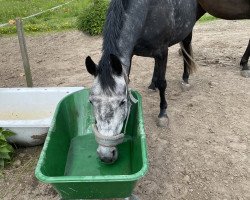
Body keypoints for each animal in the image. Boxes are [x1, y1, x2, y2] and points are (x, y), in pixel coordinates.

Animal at [86, 0, 203, 162]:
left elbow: (163, 83)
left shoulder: (162, 52)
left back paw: (185, 79)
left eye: (122, 102)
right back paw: (152, 84)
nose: (106, 155)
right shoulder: (131, 55)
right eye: (91, 102)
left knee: (186, 47)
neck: (147, 10)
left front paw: (163, 114)